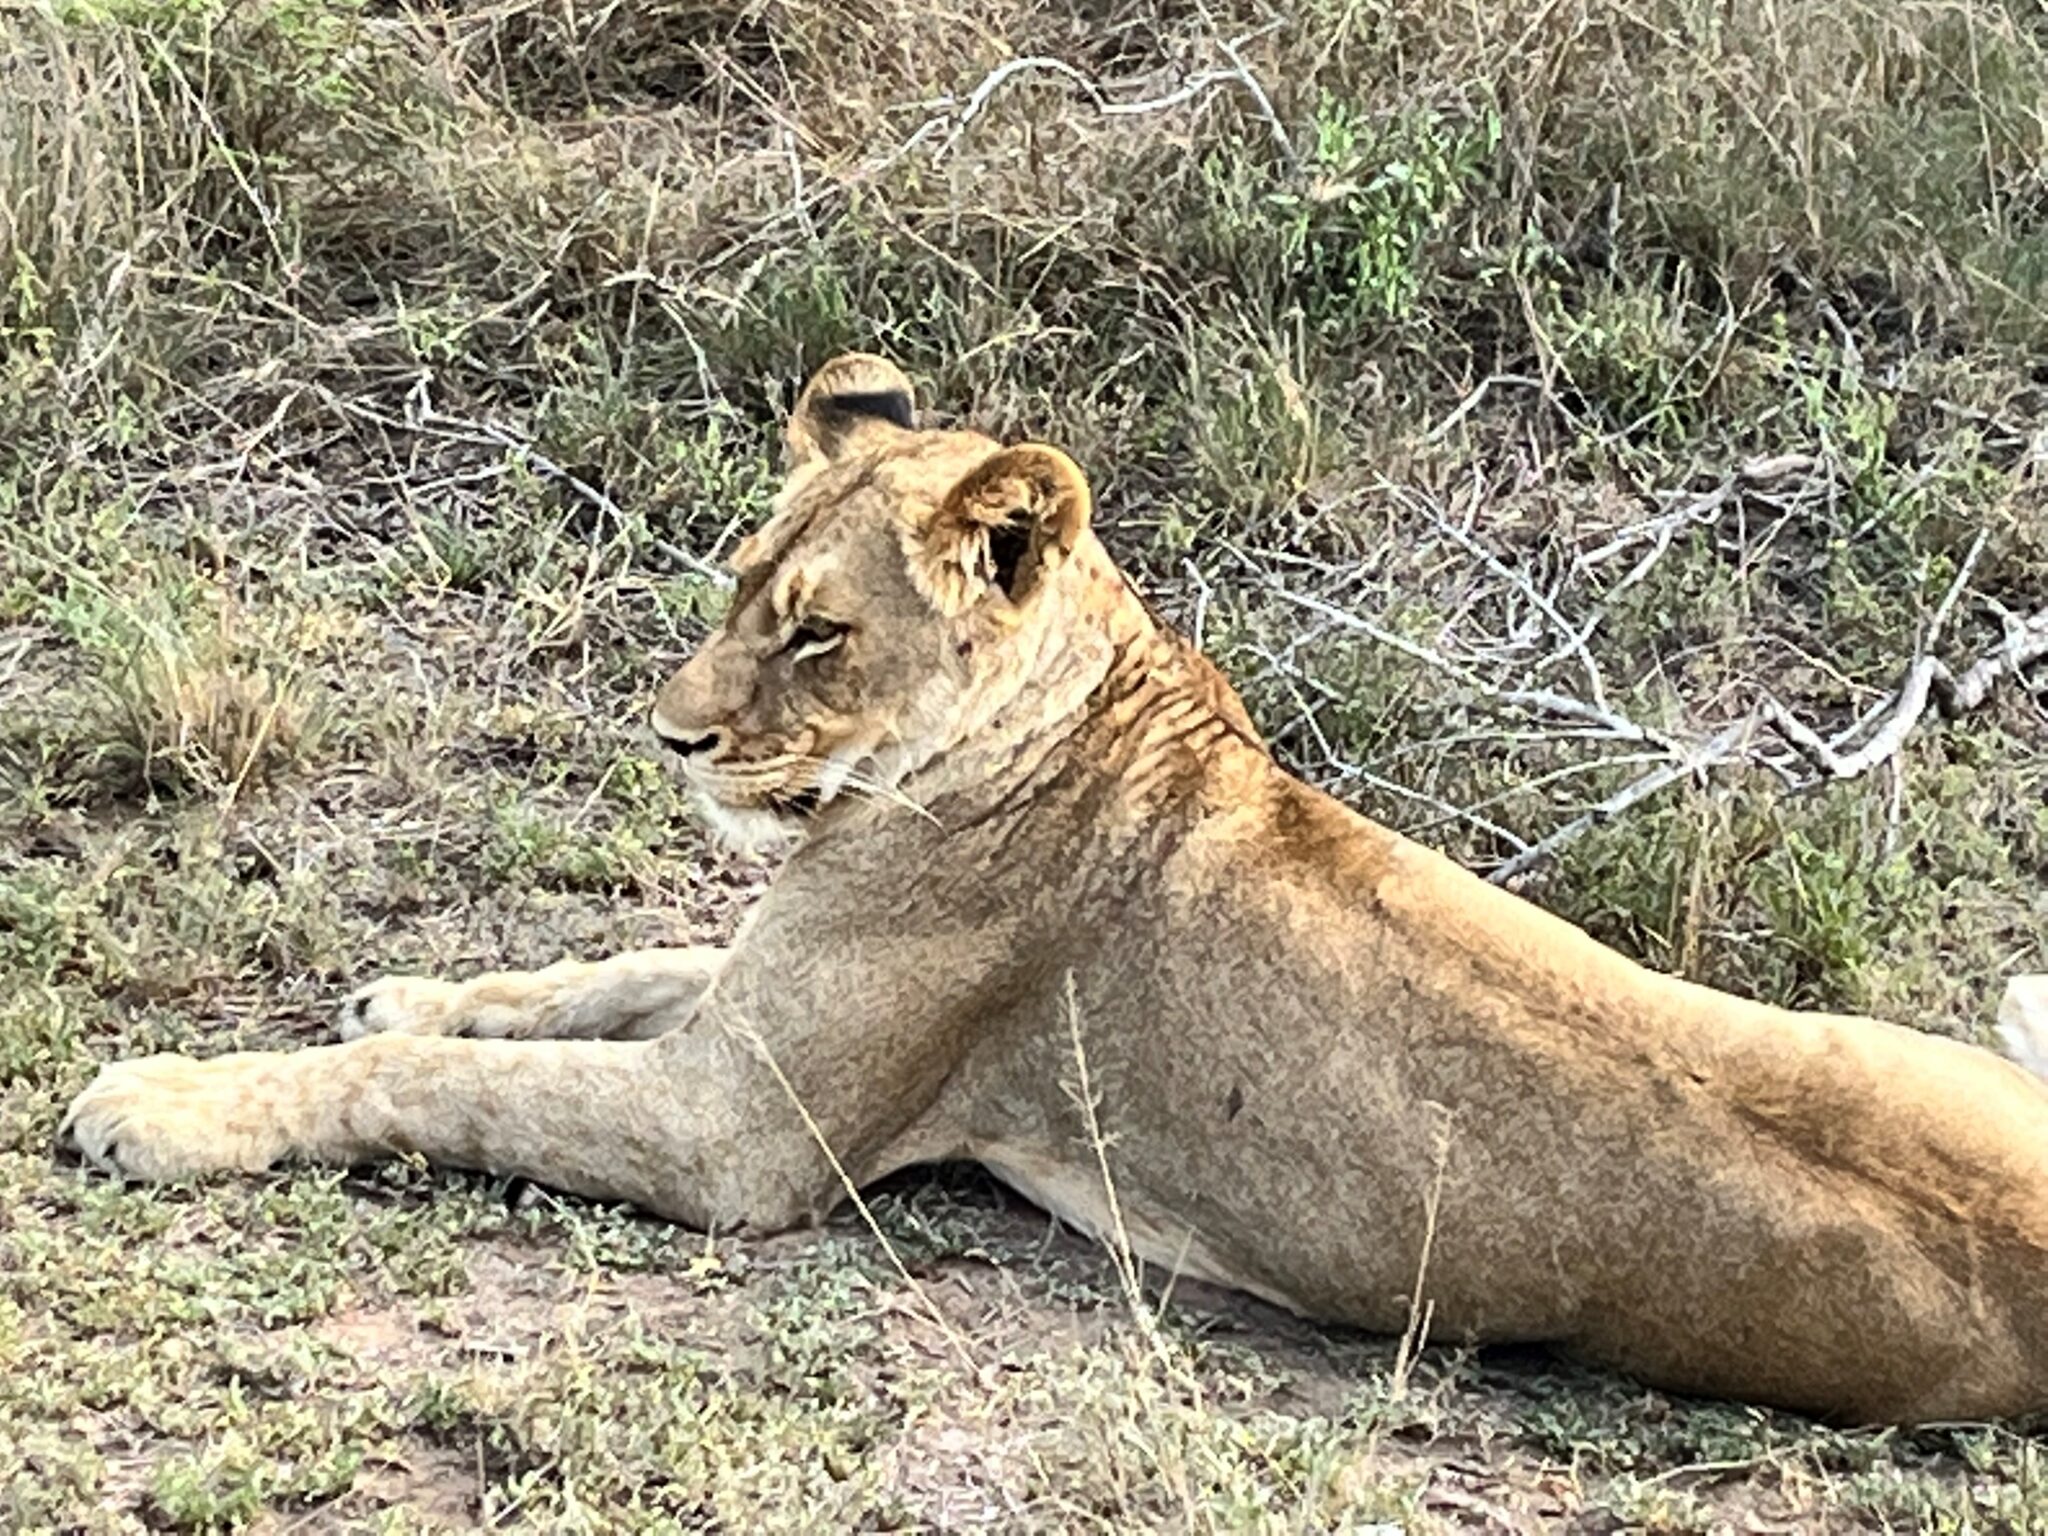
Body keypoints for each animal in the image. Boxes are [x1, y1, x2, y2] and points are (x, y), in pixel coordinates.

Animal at [60, 353, 2048, 1426]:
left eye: (819, 634)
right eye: (736, 582)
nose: (670, 739)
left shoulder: (741, 1137)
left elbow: (444, 1082)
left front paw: (160, 1103)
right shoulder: (750, 997)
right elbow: (590, 967)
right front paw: (410, 981)